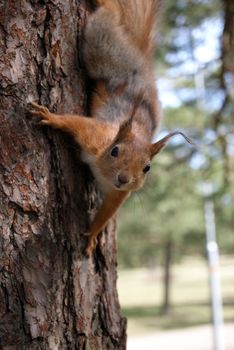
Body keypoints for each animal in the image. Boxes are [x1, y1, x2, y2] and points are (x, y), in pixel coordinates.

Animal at [29, 0, 192, 258]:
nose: (123, 178)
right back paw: (108, 6)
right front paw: (51, 117)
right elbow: (75, 122)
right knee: (107, 19)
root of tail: (139, 57)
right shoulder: (97, 137)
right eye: (115, 151)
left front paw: (93, 235)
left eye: (147, 168)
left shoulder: (119, 193)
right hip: (103, 50)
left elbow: (107, 211)